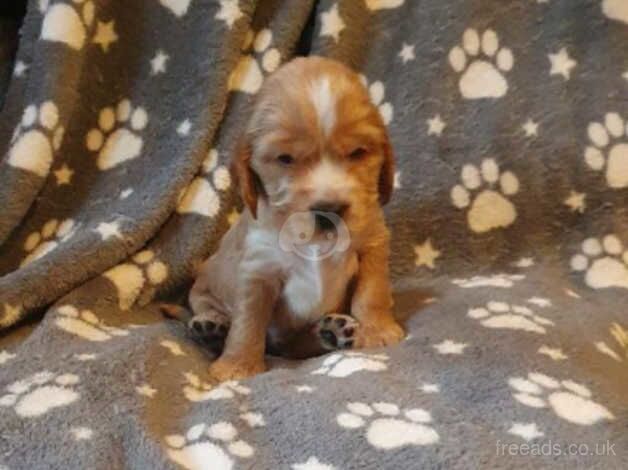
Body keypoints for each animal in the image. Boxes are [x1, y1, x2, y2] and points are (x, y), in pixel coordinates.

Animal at [164, 56, 404, 382]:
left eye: (357, 152)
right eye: (285, 159)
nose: (328, 208)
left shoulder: (372, 244)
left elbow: (373, 292)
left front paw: (378, 331)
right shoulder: (258, 270)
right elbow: (248, 322)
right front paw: (237, 366)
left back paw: (331, 332)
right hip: (204, 285)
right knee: (207, 308)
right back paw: (211, 328)